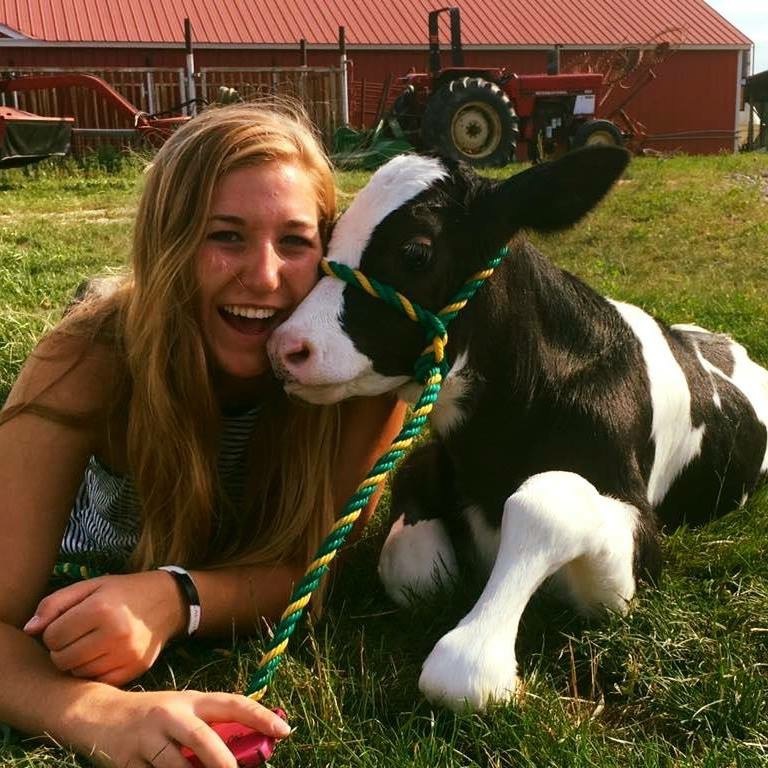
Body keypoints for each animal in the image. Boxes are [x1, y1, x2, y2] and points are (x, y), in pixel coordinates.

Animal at [266, 150, 768, 712]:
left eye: (416, 251)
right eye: (330, 235)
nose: (286, 347)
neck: (494, 449)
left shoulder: (640, 542)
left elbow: (546, 501)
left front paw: (476, 656)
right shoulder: (429, 461)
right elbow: (417, 570)